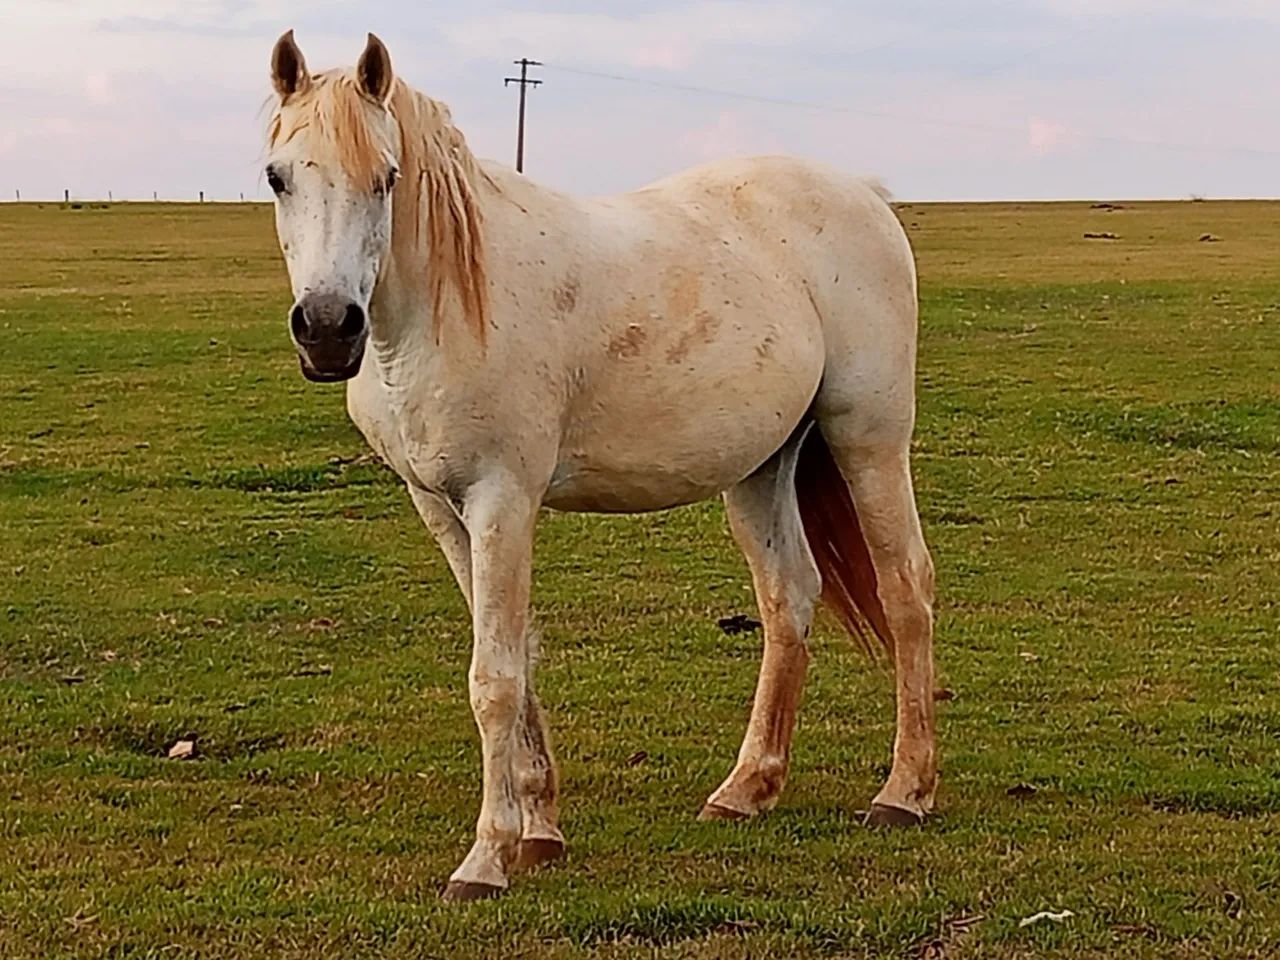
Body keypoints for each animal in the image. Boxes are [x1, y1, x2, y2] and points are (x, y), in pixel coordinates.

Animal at [264, 31, 937, 902]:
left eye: (386, 176)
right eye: (277, 177)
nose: (326, 328)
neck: (443, 307)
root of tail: (864, 195)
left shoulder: (501, 501)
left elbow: (493, 678)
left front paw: (485, 860)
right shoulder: (441, 509)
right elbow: (517, 659)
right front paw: (539, 831)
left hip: (869, 439)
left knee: (905, 590)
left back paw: (904, 792)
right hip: (760, 468)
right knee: (789, 598)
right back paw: (746, 788)